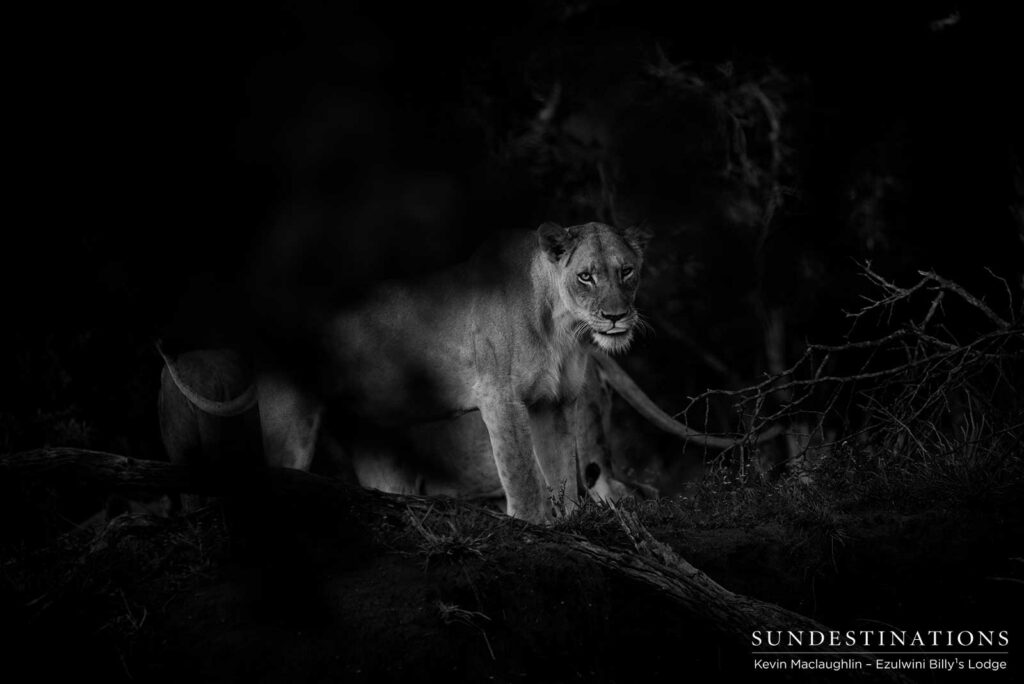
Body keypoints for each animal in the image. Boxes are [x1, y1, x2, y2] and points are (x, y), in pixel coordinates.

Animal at [161, 221, 650, 521]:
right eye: (585, 276)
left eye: (626, 271)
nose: (615, 317)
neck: (561, 326)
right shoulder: (500, 396)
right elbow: (524, 474)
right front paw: (535, 524)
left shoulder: (554, 402)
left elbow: (561, 470)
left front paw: (574, 524)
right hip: (288, 426)